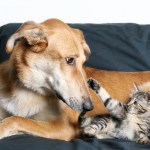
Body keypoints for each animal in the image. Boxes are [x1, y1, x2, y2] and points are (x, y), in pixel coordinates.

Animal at [0, 18, 150, 141]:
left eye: (83, 62)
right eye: (70, 60)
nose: (89, 107)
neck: (28, 90)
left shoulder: (64, 127)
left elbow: (18, 119)